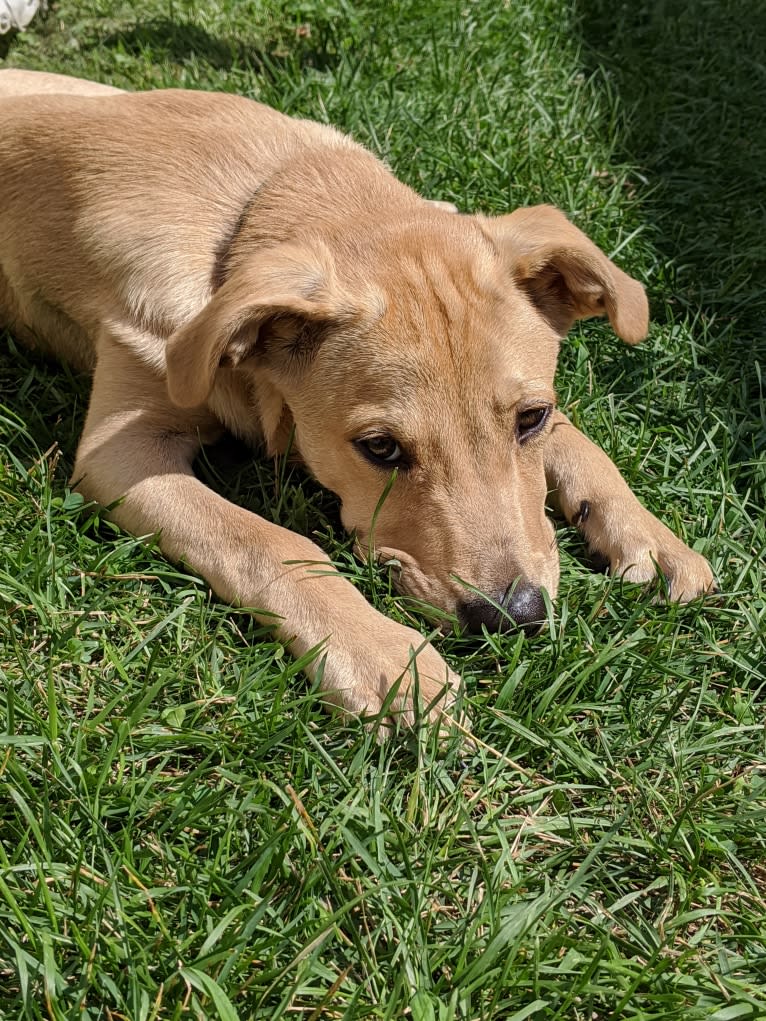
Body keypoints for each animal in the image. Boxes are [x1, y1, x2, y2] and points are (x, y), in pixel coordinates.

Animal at [0, 69, 719, 726]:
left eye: (531, 418)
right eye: (380, 448)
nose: (512, 617)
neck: (258, 198)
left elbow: (581, 443)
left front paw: (649, 536)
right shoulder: (121, 451)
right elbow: (261, 538)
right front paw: (387, 658)